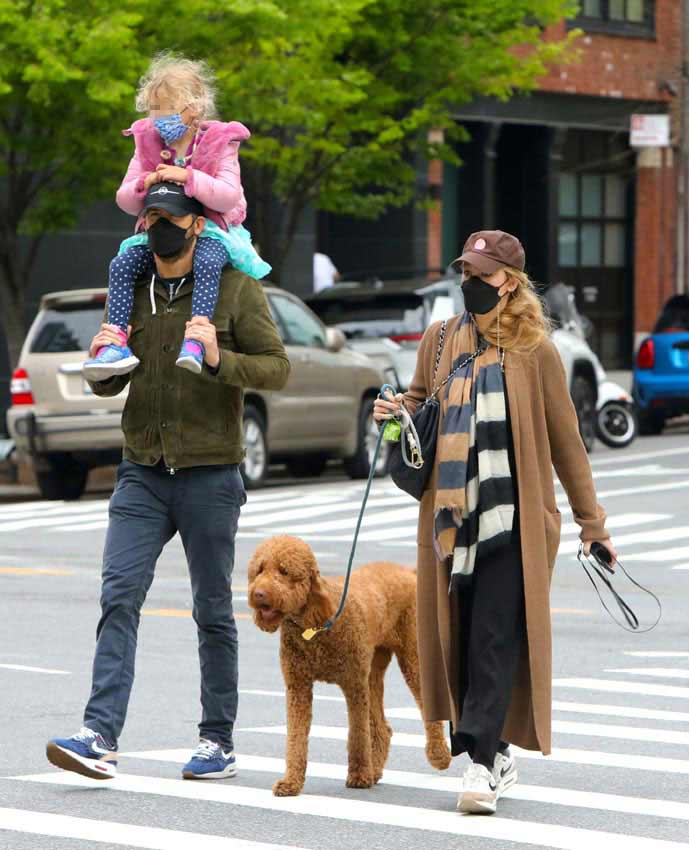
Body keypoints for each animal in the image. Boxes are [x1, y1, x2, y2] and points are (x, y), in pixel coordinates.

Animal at [247, 536, 452, 796]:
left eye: (284, 571)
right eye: (259, 570)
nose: (258, 594)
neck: (314, 626)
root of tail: (406, 571)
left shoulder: (353, 684)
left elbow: (358, 734)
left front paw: (359, 776)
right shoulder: (298, 687)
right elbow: (295, 737)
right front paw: (291, 782)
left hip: (412, 657)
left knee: (426, 708)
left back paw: (439, 756)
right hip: (373, 669)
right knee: (382, 728)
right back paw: (376, 769)